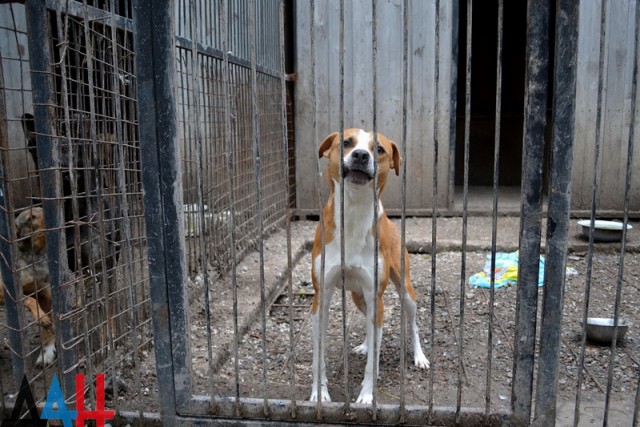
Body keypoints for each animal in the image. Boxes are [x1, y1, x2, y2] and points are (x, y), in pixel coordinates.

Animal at [310, 128, 430, 404]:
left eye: (379, 149)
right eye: (346, 143)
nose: (361, 155)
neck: (354, 214)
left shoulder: (376, 294)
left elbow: (372, 362)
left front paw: (366, 395)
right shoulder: (321, 299)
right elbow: (318, 357)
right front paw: (319, 393)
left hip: (405, 292)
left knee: (412, 325)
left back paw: (418, 356)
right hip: (358, 296)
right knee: (371, 323)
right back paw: (366, 345)